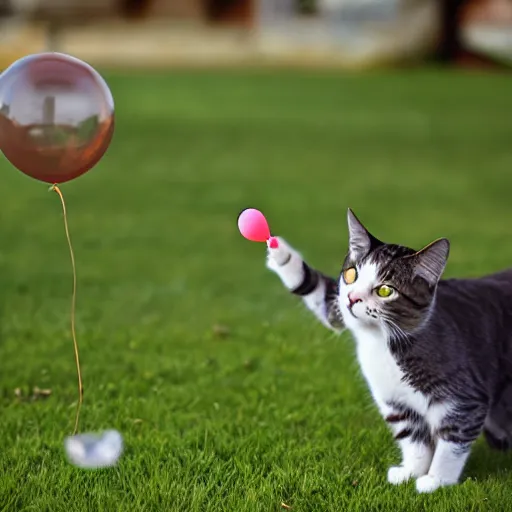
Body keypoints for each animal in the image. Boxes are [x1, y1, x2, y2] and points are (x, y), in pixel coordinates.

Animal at [266, 207, 512, 492]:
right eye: (351, 275)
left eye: (385, 290)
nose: (352, 298)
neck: (382, 342)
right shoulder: (396, 401)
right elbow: (412, 437)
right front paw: (411, 472)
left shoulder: (465, 397)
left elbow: (452, 439)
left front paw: (436, 480)